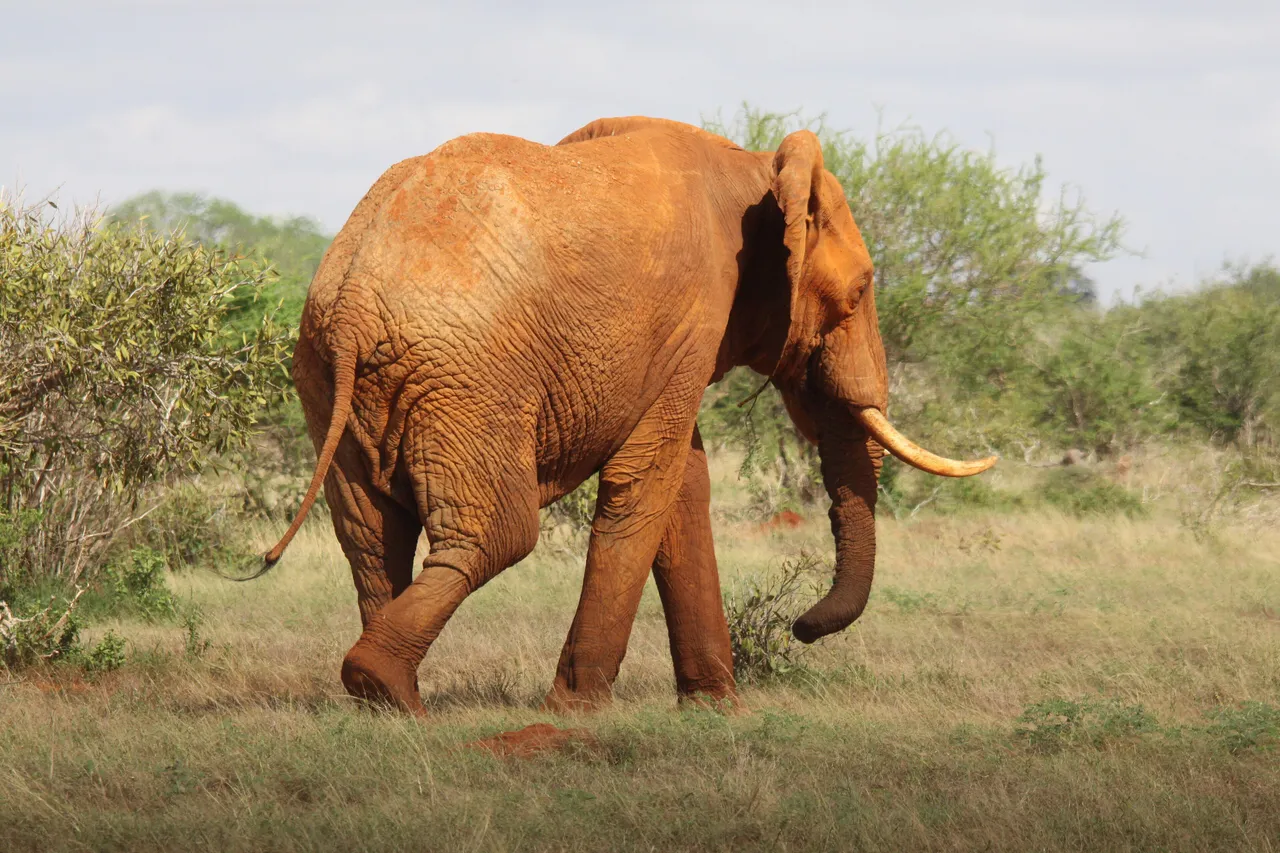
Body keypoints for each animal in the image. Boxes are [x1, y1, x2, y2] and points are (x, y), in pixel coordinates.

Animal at [263, 116, 996, 715]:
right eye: (863, 289)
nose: (800, 627)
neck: (757, 167)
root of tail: (354, 298)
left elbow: (683, 489)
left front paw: (716, 710)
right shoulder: (697, 309)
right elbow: (648, 482)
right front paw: (579, 709)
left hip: (330, 379)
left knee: (371, 536)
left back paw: (387, 701)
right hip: (467, 378)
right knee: (499, 533)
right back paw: (385, 687)